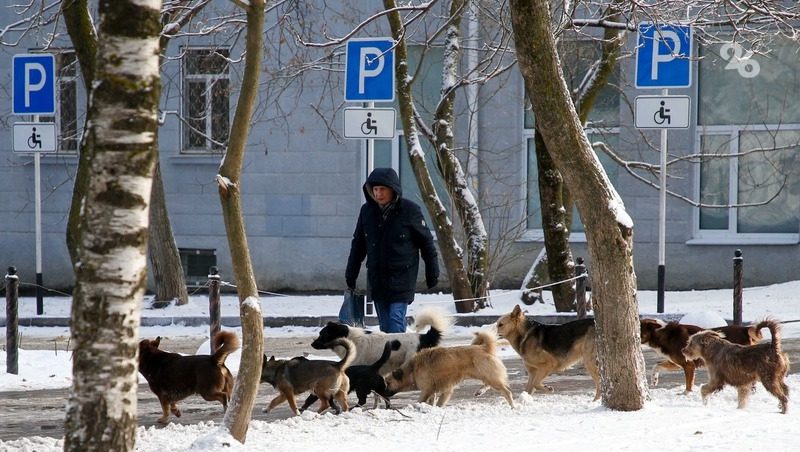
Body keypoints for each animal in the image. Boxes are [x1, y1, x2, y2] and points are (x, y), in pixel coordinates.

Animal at [382, 330, 512, 408]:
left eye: (388, 383)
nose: (383, 393)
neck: (412, 368)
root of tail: (484, 348)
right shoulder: (443, 391)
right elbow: (436, 402)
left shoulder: (427, 390)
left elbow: (421, 401)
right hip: (486, 375)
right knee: (489, 384)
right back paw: (480, 391)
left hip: (488, 375)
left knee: (506, 391)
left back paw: (512, 406)